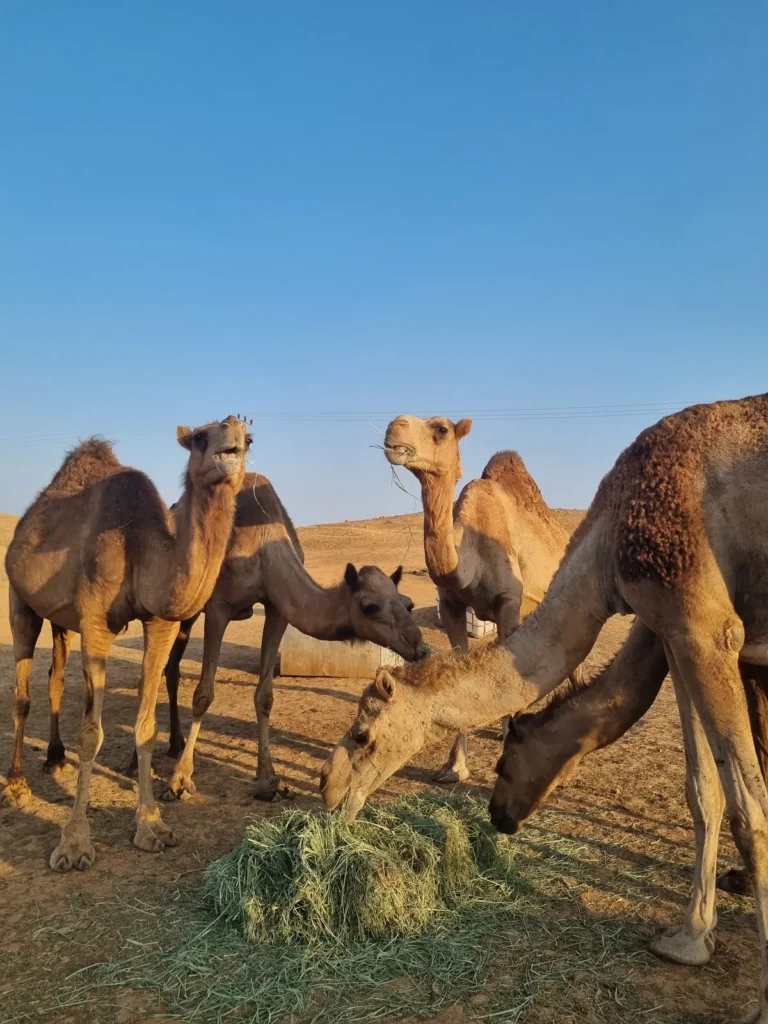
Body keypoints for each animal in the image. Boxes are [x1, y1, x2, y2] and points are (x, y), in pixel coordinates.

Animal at [3, 417, 250, 872]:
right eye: (201, 437)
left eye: (250, 438)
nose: (234, 441)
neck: (140, 543)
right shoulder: (96, 621)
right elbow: (90, 734)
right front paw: (74, 845)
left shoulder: (160, 622)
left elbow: (146, 727)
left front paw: (152, 826)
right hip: (19, 599)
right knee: (21, 693)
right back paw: (16, 785)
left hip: (62, 620)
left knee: (55, 679)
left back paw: (54, 756)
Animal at [157, 472, 425, 802]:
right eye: (369, 607)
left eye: (408, 603)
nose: (418, 646)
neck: (263, 548)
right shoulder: (219, 608)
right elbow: (203, 695)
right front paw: (179, 781)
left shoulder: (277, 610)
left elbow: (265, 697)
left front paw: (269, 783)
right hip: (183, 603)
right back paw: (159, 752)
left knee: (170, 669)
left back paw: (174, 743)